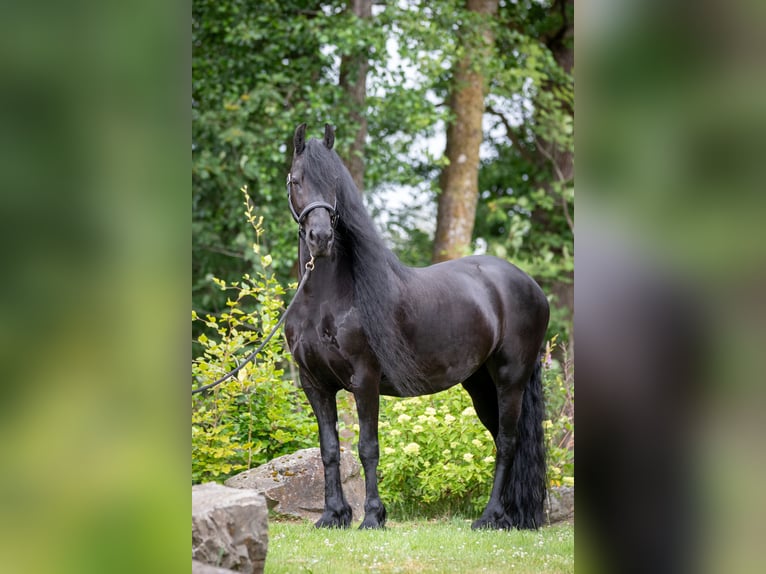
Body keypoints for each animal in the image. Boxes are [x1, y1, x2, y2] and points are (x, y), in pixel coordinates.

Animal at [283, 123, 550, 530]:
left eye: (334, 183)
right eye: (297, 180)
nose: (321, 238)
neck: (326, 299)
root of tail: (530, 285)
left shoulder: (364, 380)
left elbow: (367, 447)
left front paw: (373, 517)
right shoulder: (315, 384)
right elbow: (329, 449)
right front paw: (333, 516)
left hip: (511, 379)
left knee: (508, 443)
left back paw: (489, 517)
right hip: (480, 384)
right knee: (501, 439)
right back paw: (509, 516)